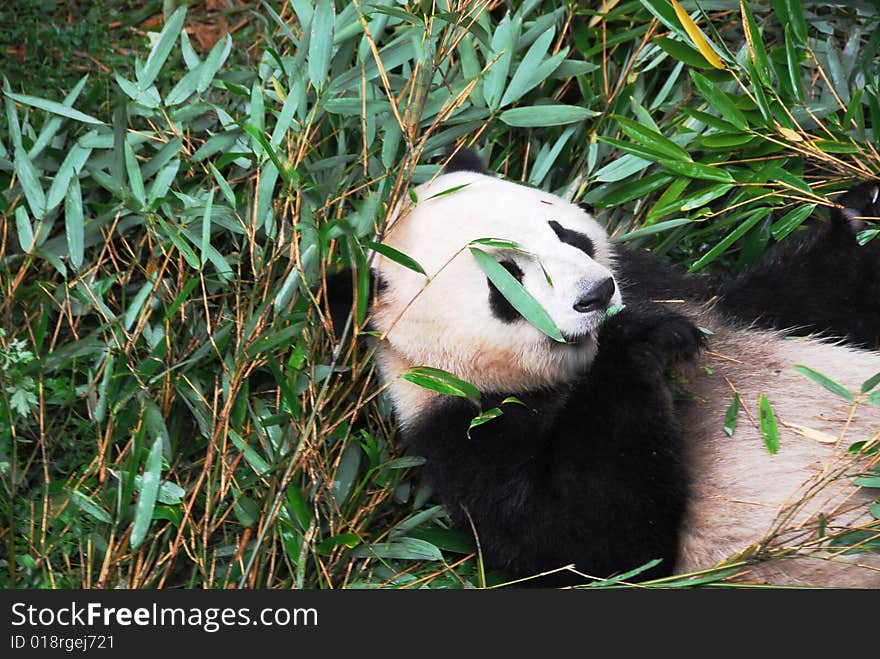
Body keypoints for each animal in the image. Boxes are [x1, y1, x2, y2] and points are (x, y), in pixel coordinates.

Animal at [328, 151, 880, 588]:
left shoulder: (686, 296)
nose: (597, 293)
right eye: (507, 280)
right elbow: (594, 546)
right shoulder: (463, 431)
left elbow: (799, 300)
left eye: (566, 235)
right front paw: (638, 341)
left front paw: (864, 214)